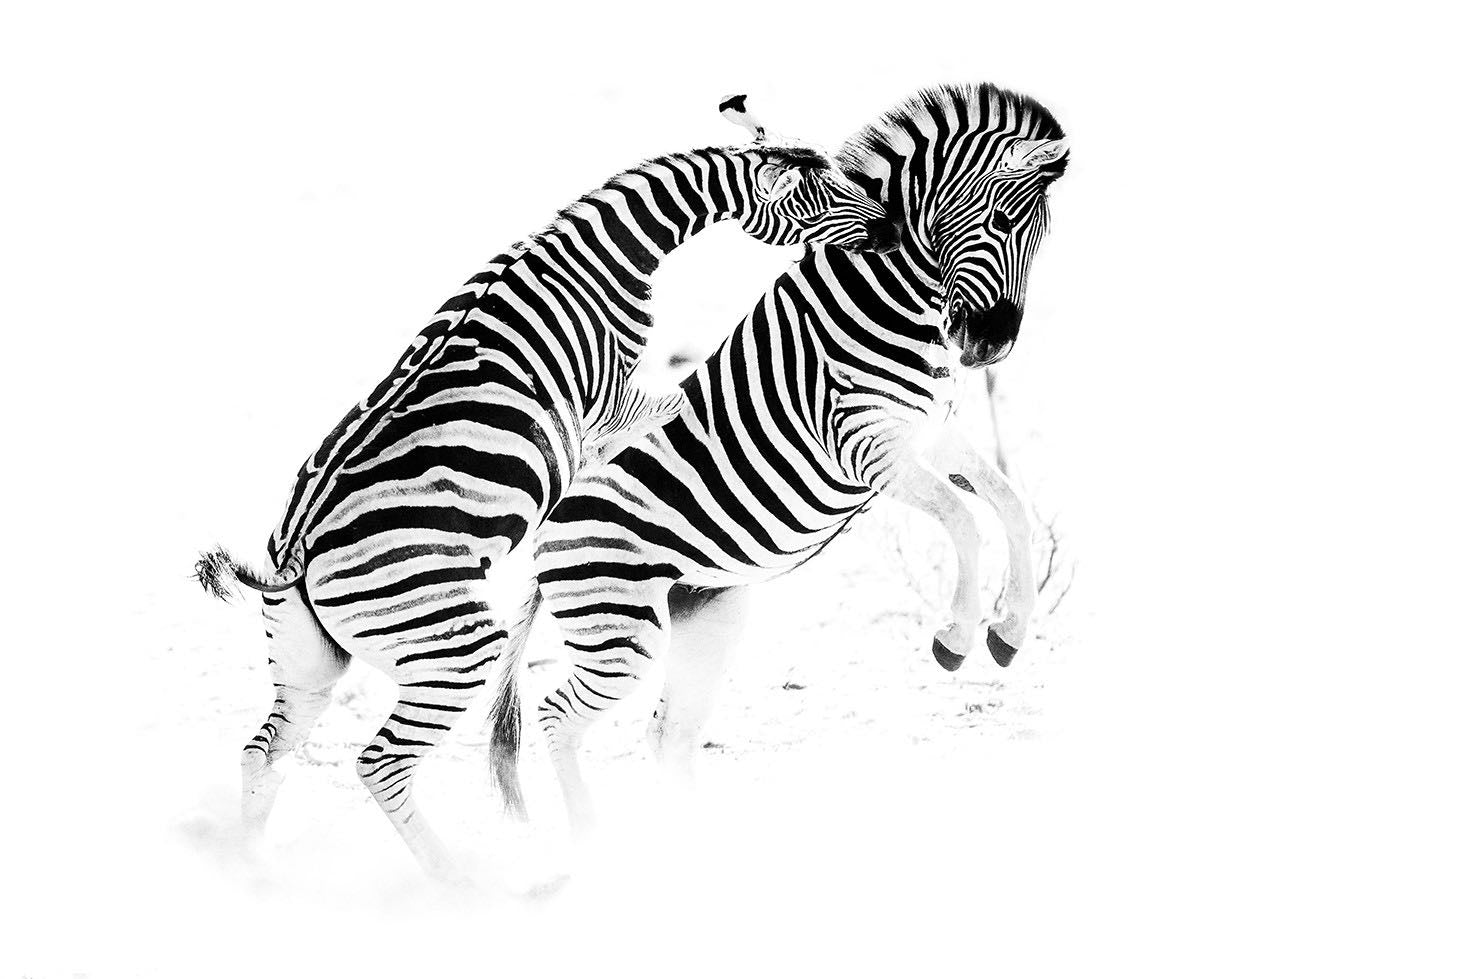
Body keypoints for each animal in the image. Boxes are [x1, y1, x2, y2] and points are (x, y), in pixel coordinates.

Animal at [193, 99, 900, 880]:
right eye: (828, 197)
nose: (890, 229)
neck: (601, 258)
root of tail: (296, 551)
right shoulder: (608, 407)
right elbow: (680, 407)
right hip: (454, 648)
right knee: (380, 763)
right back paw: (458, 880)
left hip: (307, 665)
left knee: (264, 751)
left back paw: (254, 870)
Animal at [487, 83, 1068, 832]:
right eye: (1000, 217)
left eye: (1041, 233)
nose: (992, 344)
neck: (885, 296)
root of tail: (541, 537)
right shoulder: (865, 444)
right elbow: (965, 519)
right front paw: (957, 636)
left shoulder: (928, 433)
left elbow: (1009, 505)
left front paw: (1009, 630)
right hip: (620, 623)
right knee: (559, 717)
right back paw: (592, 838)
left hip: (705, 615)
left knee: (668, 734)